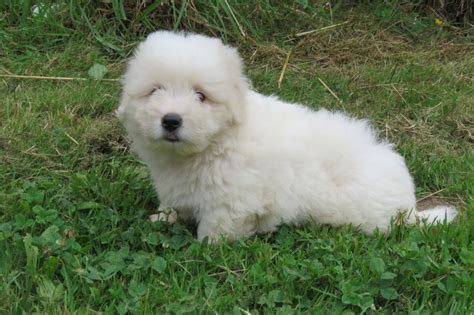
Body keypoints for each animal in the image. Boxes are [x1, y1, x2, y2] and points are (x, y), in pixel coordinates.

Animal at [116, 30, 458, 242]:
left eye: (201, 96)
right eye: (155, 90)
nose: (171, 120)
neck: (216, 143)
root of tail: (409, 209)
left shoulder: (233, 199)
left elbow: (218, 226)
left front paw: (207, 248)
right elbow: (174, 204)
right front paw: (163, 218)